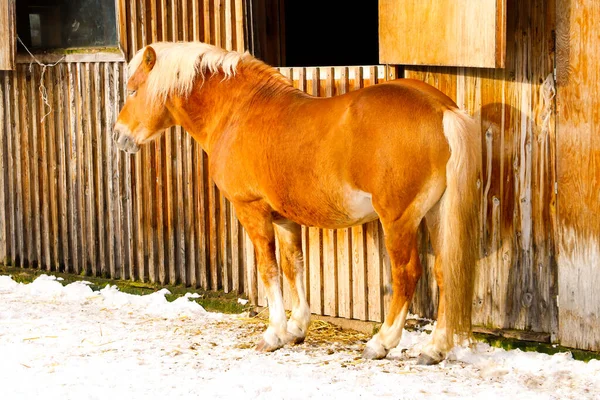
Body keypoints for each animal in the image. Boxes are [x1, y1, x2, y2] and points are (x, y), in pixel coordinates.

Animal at [113, 42, 482, 364]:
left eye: (132, 90)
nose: (118, 135)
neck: (238, 111)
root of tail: (441, 110)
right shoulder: (283, 217)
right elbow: (294, 267)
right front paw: (296, 328)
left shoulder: (252, 209)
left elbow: (269, 270)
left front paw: (273, 334)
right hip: (436, 213)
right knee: (444, 271)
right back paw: (434, 349)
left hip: (398, 219)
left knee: (407, 274)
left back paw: (381, 343)